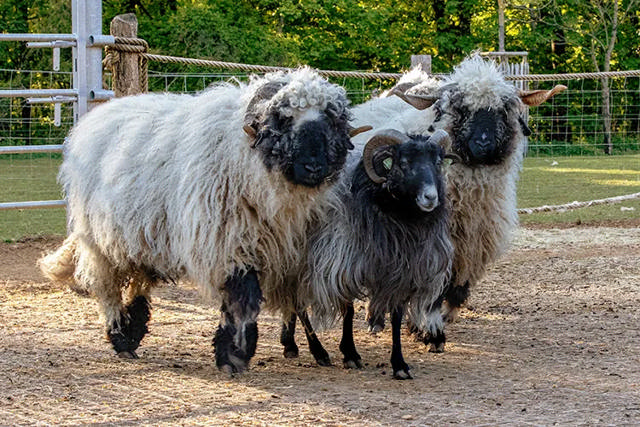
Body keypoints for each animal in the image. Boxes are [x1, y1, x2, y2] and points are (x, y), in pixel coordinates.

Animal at [38, 67, 371, 374]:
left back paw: (133, 333)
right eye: (283, 120)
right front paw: (233, 355)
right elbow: (243, 300)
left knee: (139, 282)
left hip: (144, 235)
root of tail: (98, 115)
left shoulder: (287, 254)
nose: (313, 166)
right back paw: (120, 337)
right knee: (107, 290)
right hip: (100, 242)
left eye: (332, 122)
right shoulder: (230, 244)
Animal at [295, 129, 454, 379]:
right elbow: (348, 310)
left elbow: (396, 318)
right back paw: (317, 351)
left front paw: (399, 364)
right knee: (298, 306)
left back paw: (289, 345)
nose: (430, 197)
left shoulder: (401, 274)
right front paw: (350, 353)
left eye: (437, 162)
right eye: (403, 163)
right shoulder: (343, 265)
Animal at [354, 55, 566, 351]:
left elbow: (457, 288)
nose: (484, 144)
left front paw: (441, 317)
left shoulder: (476, 242)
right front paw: (428, 328)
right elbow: (432, 290)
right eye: (461, 109)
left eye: (503, 111)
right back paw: (375, 318)